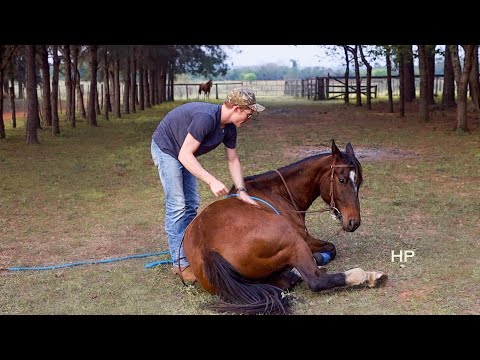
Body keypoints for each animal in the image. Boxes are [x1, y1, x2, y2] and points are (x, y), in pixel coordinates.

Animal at [182, 139, 388, 314]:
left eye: (359, 181)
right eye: (342, 180)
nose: (354, 222)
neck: (277, 191)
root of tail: (208, 250)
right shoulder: (305, 239)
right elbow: (332, 247)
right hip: (293, 240)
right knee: (316, 281)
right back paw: (365, 276)